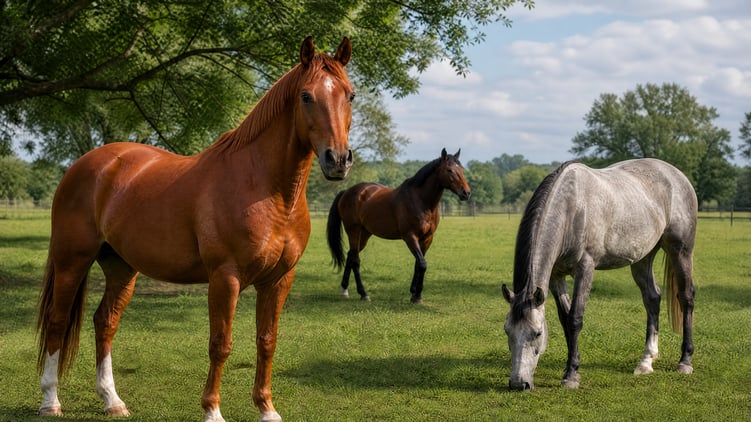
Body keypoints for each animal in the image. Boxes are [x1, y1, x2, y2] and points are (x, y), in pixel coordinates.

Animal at [36, 36, 354, 422]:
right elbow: (221, 344)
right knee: (57, 321)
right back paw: (50, 401)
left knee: (105, 322)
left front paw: (266, 409)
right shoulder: (225, 278)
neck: (267, 188)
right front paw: (212, 411)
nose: (338, 160)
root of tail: (87, 164)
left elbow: (267, 341)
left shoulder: (279, 280)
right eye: (307, 96)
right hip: (72, 261)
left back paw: (112, 401)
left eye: (350, 95)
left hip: (121, 267)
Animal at [326, 148, 471, 304]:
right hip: (353, 231)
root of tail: (346, 192)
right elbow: (422, 264)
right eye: (449, 170)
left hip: (364, 234)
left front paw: (414, 293)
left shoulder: (427, 238)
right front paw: (417, 296)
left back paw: (344, 289)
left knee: (351, 256)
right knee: (355, 260)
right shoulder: (410, 237)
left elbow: (418, 264)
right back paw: (363, 294)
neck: (420, 200)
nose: (466, 193)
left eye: (462, 169)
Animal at [501, 158, 696, 391]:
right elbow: (565, 319)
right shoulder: (556, 276)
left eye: (537, 333)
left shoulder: (585, 268)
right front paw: (572, 367)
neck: (571, 209)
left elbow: (575, 318)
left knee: (686, 297)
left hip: (680, 251)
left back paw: (685, 361)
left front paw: (571, 376)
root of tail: (676, 174)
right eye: (507, 331)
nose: (518, 384)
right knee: (652, 298)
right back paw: (646, 361)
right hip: (642, 258)